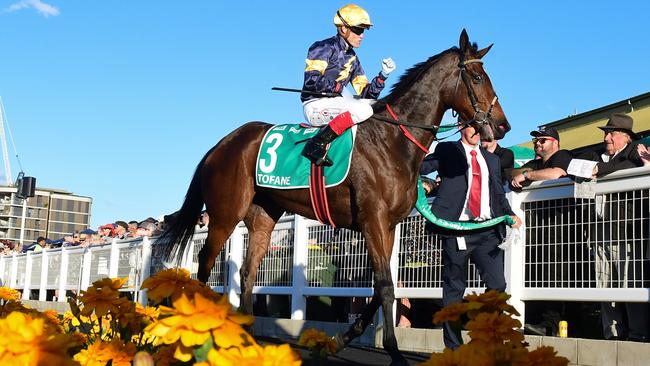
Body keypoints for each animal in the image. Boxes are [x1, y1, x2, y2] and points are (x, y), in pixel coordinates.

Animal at [157, 30, 506, 364]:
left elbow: (381, 289)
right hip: (225, 214)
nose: (502, 125)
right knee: (204, 264)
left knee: (247, 272)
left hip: (262, 217)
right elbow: (385, 286)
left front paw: (342, 338)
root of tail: (220, 145)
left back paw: (248, 339)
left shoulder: (389, 226)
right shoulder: (372, 220)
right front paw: (394, 353)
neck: (392, 140)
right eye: (477, 78)